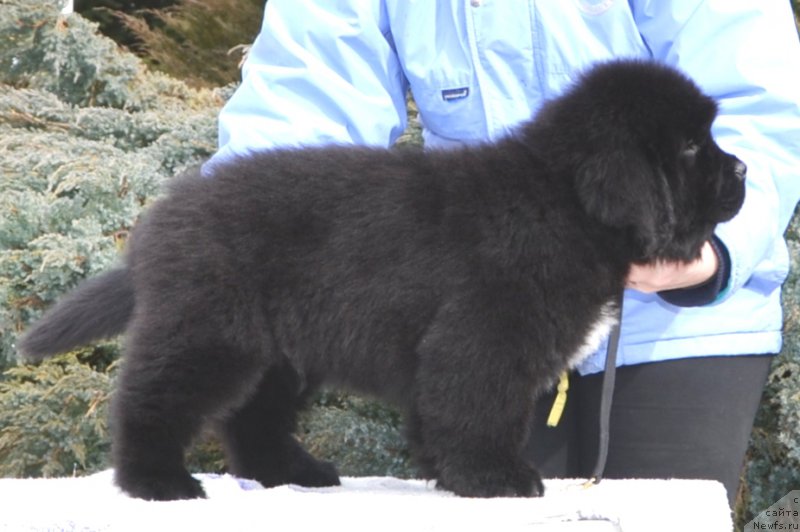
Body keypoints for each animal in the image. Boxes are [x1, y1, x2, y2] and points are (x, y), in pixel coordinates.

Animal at [20, 60, 752, 500]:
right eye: (691, 147)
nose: (744, 170)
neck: (562, 199)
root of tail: (160, 221)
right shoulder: (484, 336)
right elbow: (481, 408)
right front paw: (496, 477)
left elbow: (444, 412)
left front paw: (447, 473)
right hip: (209, 330)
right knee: (152, 399)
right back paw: (157, 481)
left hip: (278, 352)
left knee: (253, 418)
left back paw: (292, 473)